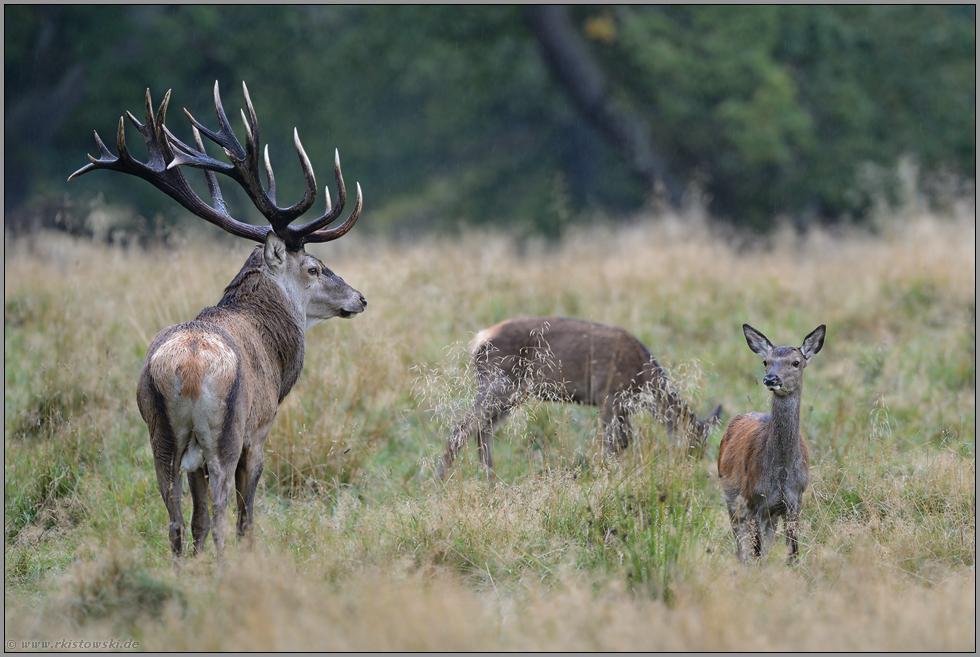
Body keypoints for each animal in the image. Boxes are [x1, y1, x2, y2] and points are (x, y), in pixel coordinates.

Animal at [70, 79, 368, 556]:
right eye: (314, 268)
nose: (359, 298)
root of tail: (188, 368)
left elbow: (197, 521)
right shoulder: (260, 429)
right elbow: (247, 514)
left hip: (160, 435)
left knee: (176, 519)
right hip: (223, 435)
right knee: (226, 514)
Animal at [436, 316, 720, 480]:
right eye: (692, 443)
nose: (690, 468)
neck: (643, 376)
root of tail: (477, 341)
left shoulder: (621, 406)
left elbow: (624, 441)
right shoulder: (608, 396)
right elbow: (614, 443)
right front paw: (610, 476)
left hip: (509, 394)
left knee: (481, 430)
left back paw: (491, 481)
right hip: (499, 384)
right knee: (462, 428)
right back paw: (441, 480)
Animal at [716, 322, 824, 564]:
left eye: (796, 362)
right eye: (766, 361)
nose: (771, 379)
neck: (781, 472)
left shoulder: (795, 500)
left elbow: (793, 552)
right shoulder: (755, 499)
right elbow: (756, 551)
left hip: (771, 514)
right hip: (732, 499)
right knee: (741, 543)